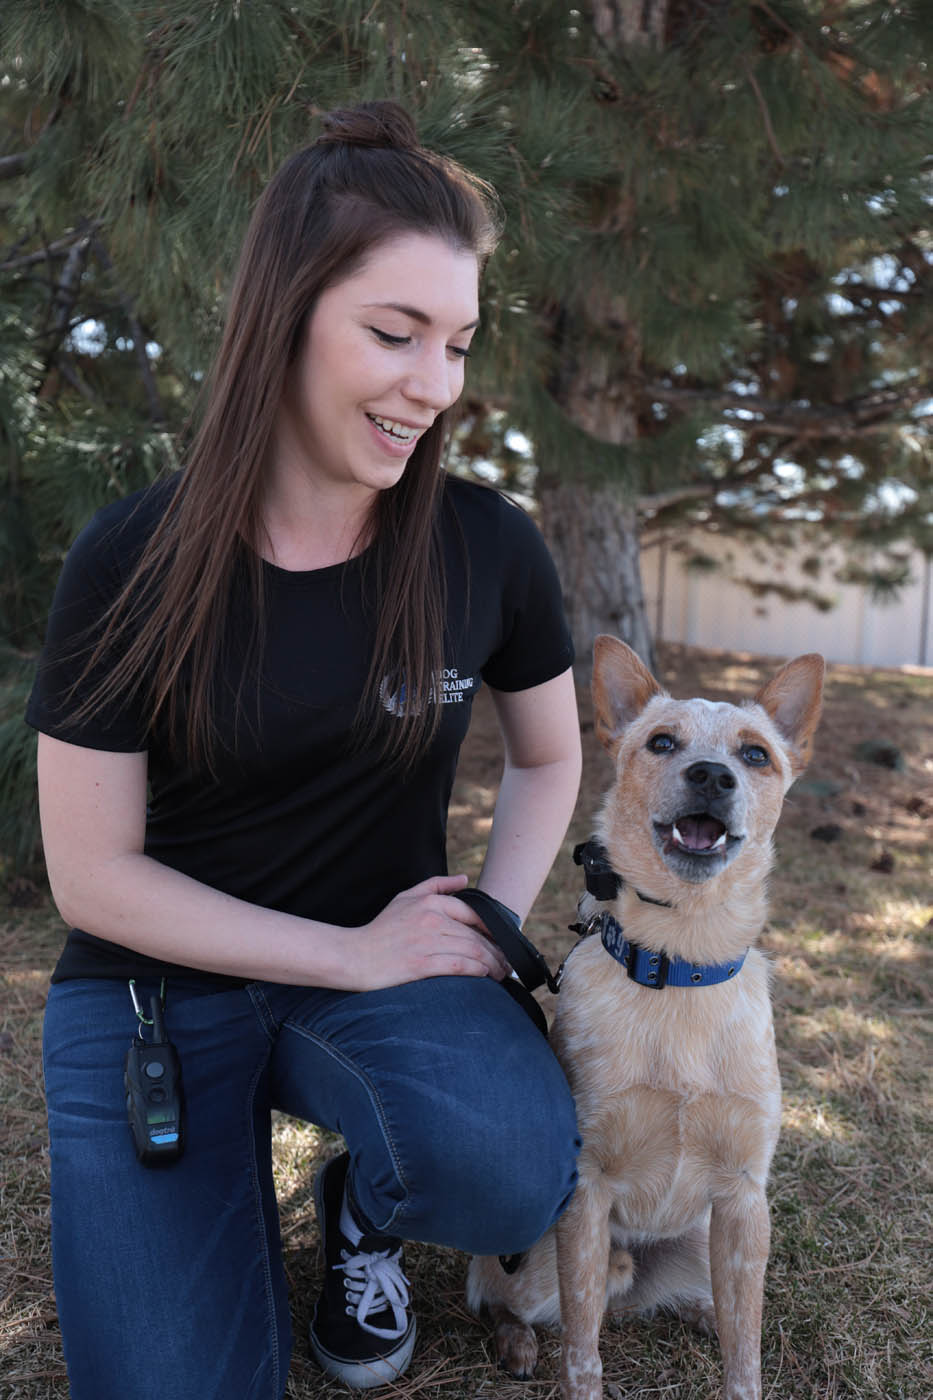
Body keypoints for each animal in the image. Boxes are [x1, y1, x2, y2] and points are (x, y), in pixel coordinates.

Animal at [467, 638, 818, 1400]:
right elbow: (581, 1350)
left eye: (755, 755)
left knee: (691, 1305)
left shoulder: (744, 1200)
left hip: (701, 1243)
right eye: (661, 742)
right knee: (507, 1298)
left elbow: (744, 1352)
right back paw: (514, 1342)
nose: (711, 775)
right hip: (557, 1260)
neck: (680, 964)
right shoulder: (587, 1192)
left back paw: (696, 1314)